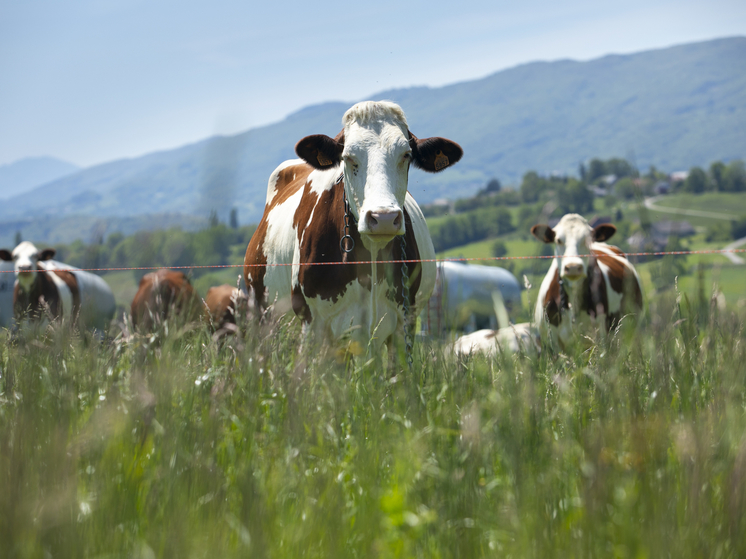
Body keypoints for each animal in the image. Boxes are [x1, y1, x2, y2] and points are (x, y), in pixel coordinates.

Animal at [244, 98, 462, 348]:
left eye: (406, 154)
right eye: (348, 157)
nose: (383, 218)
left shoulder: (403, 323)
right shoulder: (312, 323)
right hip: (263, 320)